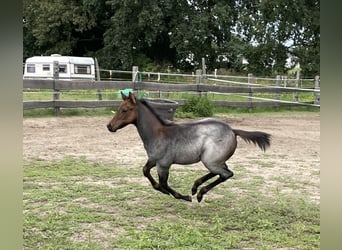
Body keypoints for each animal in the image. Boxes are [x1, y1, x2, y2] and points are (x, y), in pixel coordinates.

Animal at [105, 93, 272, 202]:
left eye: (125, 110)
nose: (109, 126)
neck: (157, 133)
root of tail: (233, 130)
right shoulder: (153, 160)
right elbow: (146, 172)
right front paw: (162, 190)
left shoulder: (163, 164)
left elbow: (164, 183)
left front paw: (182, 196)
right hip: (214, 160)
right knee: (220, 172)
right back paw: (195, 187)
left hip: (210, 161)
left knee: (226, 174)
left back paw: (198, 194)